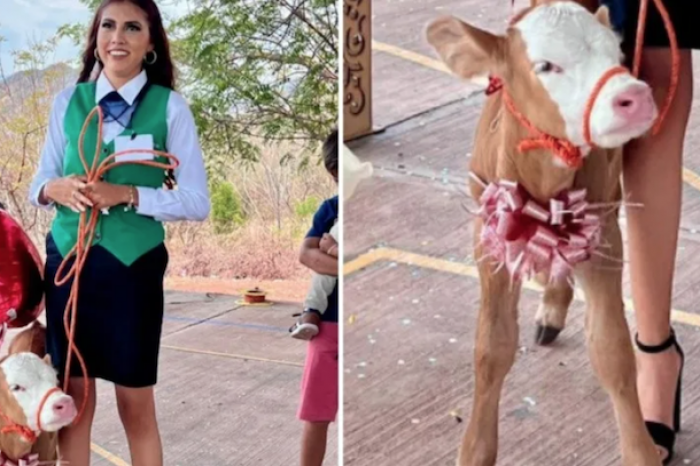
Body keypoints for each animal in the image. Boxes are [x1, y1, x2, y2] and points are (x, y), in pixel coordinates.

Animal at [426, 0, 660, 466]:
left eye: (618, 52)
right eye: (545, 66)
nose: (636, 96)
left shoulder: (605, 233)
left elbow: (612, 349)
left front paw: (641, 451)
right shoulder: (489, 237)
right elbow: (491, 347)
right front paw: (475, 450)